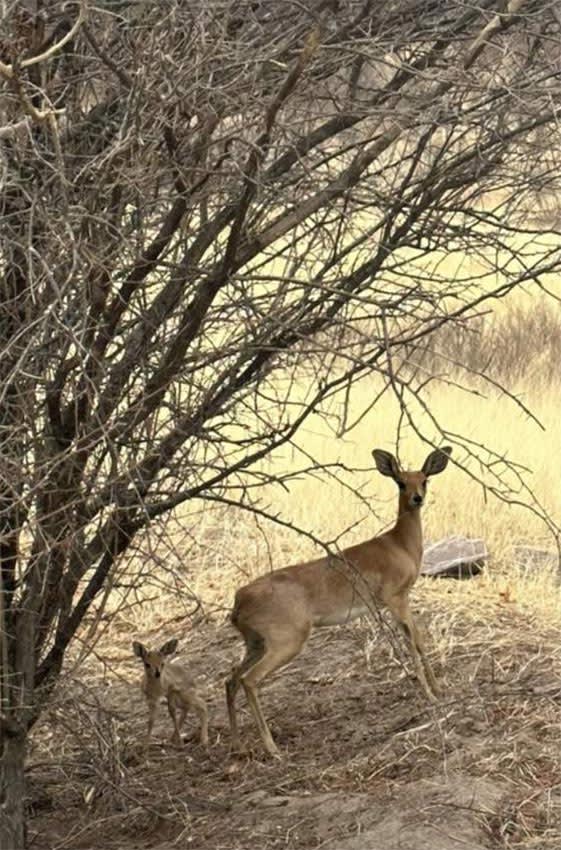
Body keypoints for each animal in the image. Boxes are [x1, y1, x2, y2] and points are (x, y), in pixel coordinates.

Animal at [224, 444, 450, 756]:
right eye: (400, 482)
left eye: (424, 479)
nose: (417, 498)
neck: (400, 545)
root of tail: (239, 600)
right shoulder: (396, 599)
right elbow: (414, 641)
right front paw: (431, 694)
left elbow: (418, 640)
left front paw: (438, 689)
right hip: (286, 643)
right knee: (249, 680)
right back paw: (273, 749)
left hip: (256, 644)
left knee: (230, 680)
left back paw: (237, 745)